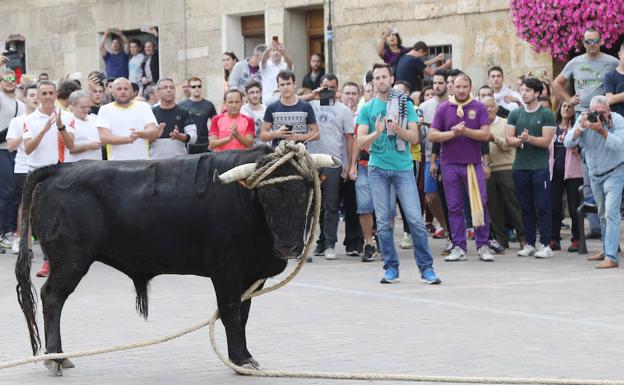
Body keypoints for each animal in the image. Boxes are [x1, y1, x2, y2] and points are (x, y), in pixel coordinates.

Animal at [16, 144, 320, 372]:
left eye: (303, 193)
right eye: (265, 195)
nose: (288, 247)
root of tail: (62, 168)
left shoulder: (252, 274)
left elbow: (244, 314)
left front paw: (246, 356)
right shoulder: (226, 270)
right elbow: (231, 312)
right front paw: (239, 360)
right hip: (69, 260)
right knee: (52, 298)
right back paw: (55, 358)